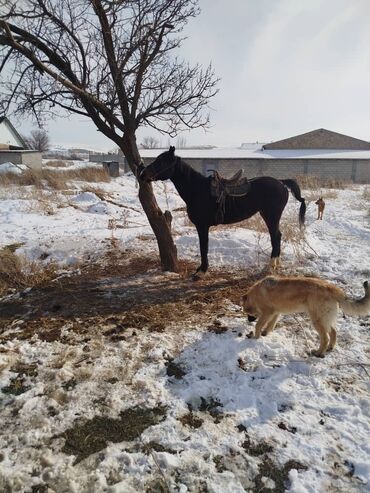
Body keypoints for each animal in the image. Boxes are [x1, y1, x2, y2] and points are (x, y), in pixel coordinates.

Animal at [140, 145, 304, 276]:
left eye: (162, 161)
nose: (142, 174)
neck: (197, 190)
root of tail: (281, 183)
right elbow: (203, 247)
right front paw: (200, 269)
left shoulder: (202, 226)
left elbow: (203, 247)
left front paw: (202, 271)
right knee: (277, 236)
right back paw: (275, 264)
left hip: (271, 216)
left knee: (275, 237)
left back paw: (271, 266)